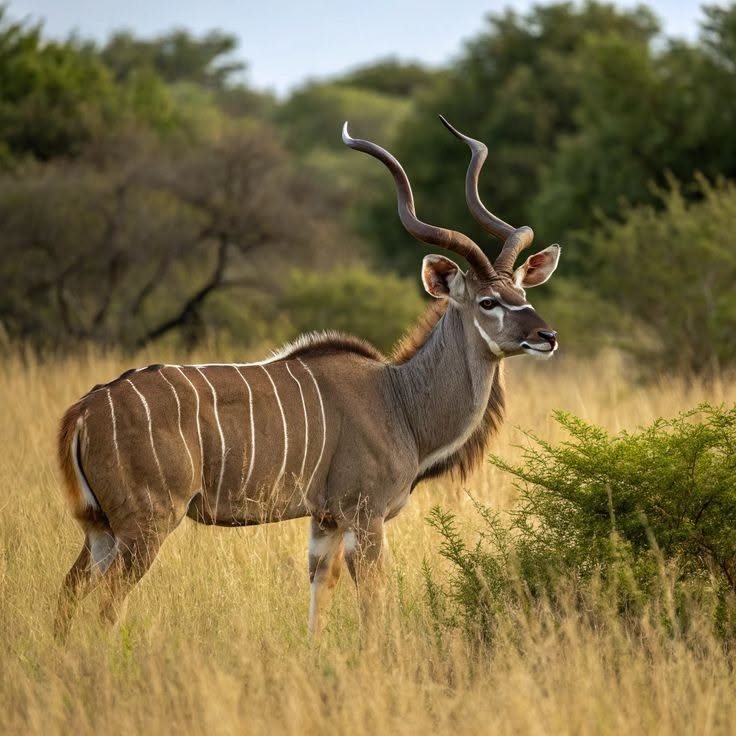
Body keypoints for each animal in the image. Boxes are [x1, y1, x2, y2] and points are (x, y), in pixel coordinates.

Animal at [55, 117, 561, 640]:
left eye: (523, 293)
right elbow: (374, 601)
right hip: (147, 524)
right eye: (488, 302)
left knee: (67, 596)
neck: (399, 399)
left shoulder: (325, 521)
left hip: (101, 529)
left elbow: (321, 587)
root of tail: (83, 411)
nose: (547, 336)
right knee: (107, 603)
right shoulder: (365, 515)